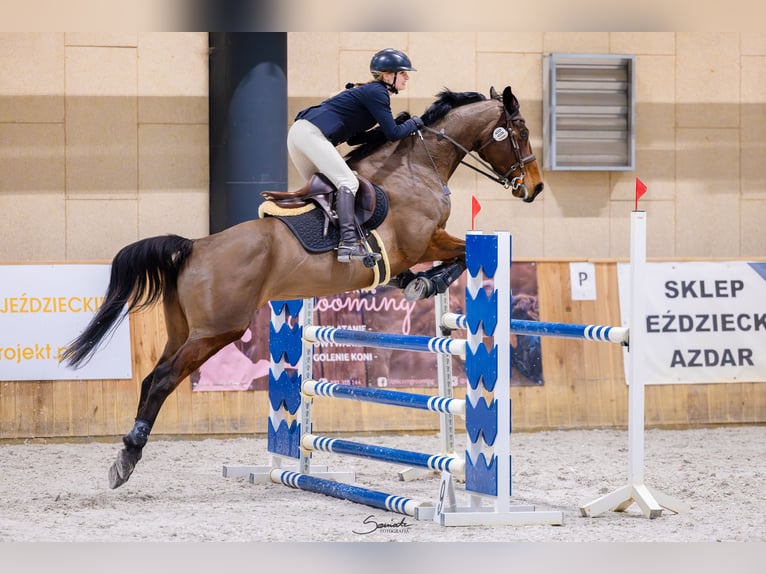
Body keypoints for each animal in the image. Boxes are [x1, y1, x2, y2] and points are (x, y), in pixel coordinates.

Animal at [61, 85, 544, 489]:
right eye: (520, 130)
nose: (535, 188)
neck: (416, 165)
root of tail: (194, 246)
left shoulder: (414, 249)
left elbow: (439, 263)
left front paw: (417, 282)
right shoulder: (424, 240)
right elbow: (462, 254)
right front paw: (428, 282)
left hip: (183, 329)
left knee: (150, 377)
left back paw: (127, 454)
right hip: (217, 331)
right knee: (162, 379)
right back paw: (127, 460)